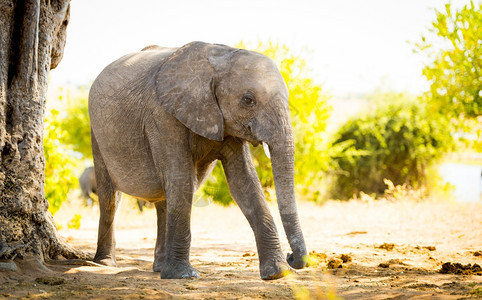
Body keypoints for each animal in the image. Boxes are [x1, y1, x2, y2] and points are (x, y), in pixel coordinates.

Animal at [88, 41, 306, 278]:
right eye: (248, 100)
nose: (292, 256)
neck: (218, 58)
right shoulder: (162, 115)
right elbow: (181, 178)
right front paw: (183, 276)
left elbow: (244, 182)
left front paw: (279, 273)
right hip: (97, 135)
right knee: (110, 198)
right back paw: (105, 264)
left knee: (165, 198)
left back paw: (160, 268)